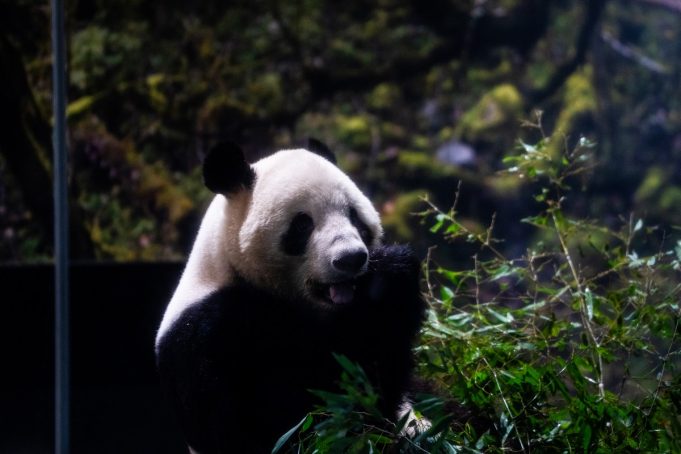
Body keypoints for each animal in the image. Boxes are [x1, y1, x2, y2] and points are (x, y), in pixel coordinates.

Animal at [155, 140, 425, 453]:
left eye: (354, 215)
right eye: (303, 224)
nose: (350, 258)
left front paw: (389, 276)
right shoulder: (208, 334)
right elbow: (279, 421)